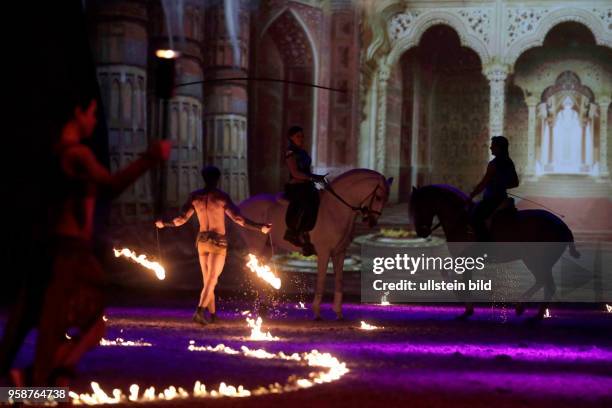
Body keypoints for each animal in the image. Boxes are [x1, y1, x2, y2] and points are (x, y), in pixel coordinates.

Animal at [239, 169, 392, 318]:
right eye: (378, 197)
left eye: (386, 199)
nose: (371, 222)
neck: (335, 209)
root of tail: (242, 205)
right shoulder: (324, 252)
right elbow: (321, 280)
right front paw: (317, 311)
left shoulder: (340, 252)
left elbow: (339, 280)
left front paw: (338, 312)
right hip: (256, 246)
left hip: (266, 248)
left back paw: (265, 305)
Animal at [412, 184, 580, 318]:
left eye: (419, 207)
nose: (421, 232)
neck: (460, 221)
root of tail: (563, 227)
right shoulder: (465, 260)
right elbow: (453, 276)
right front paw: (467, 306)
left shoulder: (464, 258)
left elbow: (457, 279)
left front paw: (465, 305)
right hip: (541, 262)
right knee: (545, 284)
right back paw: (531, 311)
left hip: (535, 260)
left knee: (546, 284)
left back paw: (526, 309)